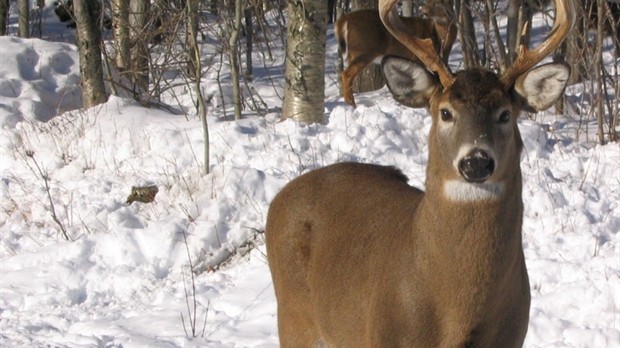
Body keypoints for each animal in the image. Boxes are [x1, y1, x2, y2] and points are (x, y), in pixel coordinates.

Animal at [264, 0, 572, 346]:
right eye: (445, 112)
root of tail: (279, 199)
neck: (458, 314)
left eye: (505, 114)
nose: (476, 162)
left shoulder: (514, 336)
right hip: (293, 314)